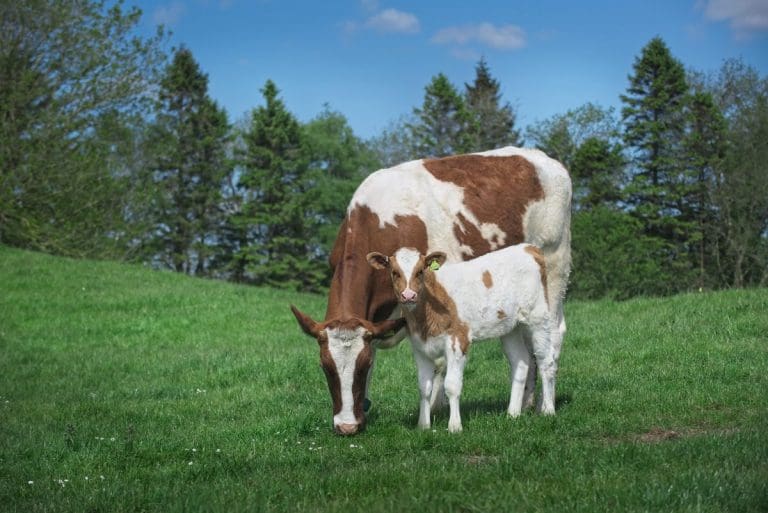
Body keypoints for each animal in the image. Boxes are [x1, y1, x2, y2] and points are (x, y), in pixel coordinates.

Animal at [366, 245, 556, 433]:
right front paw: (423, 426)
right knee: (521, 362)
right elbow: (424, 387)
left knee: (546, 361)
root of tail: (529, 248)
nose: (408, 295)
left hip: (538, 317)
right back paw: (513, 414)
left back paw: (548, 410)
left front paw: (455, 426)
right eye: (394, 272)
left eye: (420, 271)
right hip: (510, 327)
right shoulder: (419, 347)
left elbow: (452, 385)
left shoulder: (458, 339)